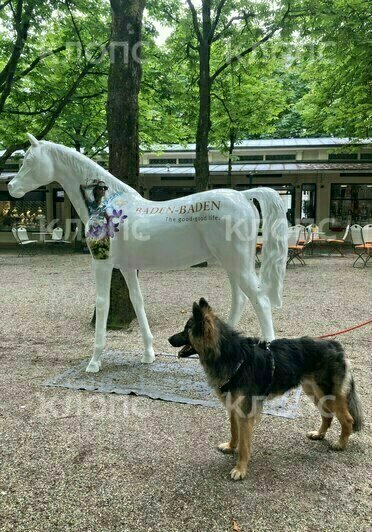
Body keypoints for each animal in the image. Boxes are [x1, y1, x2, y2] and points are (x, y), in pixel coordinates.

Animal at [169, 300, 364, 482]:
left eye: (186, 330)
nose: (169, 339)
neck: (232, 356)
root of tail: (334, 344)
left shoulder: (245, 413)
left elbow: (244, 445)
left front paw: (240, 469)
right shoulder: (233, 407)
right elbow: (233, 431)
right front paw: (231, 447)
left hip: (328, 394)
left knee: (347, 419)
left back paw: (340, 444)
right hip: (315, 392)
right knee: (327, 415)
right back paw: (319, 434)